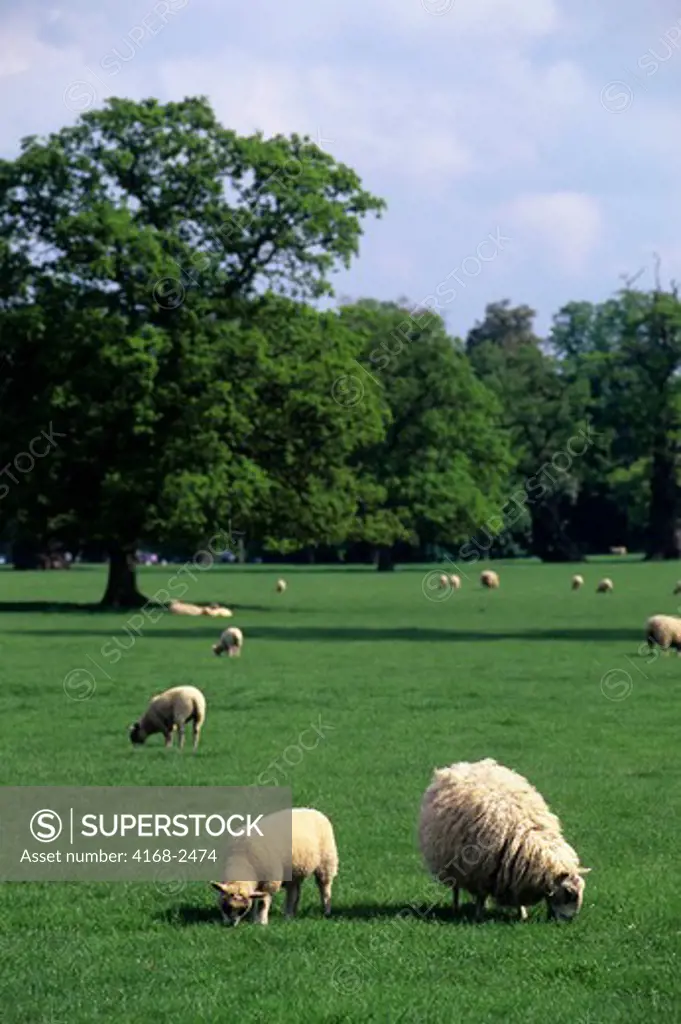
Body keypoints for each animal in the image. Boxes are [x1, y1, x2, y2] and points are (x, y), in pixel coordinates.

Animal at [417, 757, 585, 925]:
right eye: (569, 893)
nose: (568, 921)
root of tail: (461, 766)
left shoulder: (514, 874)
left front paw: (522, 914)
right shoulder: (480, 870)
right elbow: (481, 894)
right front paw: (478, 916)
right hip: (452, 863)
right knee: (456, 887)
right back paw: (456, 908)